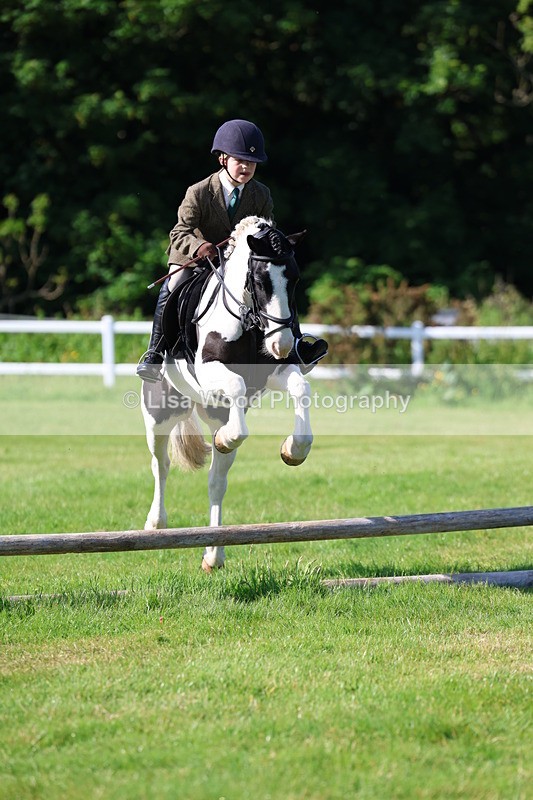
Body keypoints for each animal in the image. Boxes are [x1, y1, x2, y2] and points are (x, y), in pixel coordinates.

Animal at [141, 216, 313, 572]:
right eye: (260, 280)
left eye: (294, 279)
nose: (281, 344)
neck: (248, 321)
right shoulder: (210, 371)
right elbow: (235, 385)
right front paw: (230, 437)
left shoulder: (276, 371)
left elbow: (300, 387)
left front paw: (293, 450)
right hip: (158, 415)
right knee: (161, 464)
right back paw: (156, 523)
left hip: (213, 412)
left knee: (216, 483)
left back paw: (214, 555)